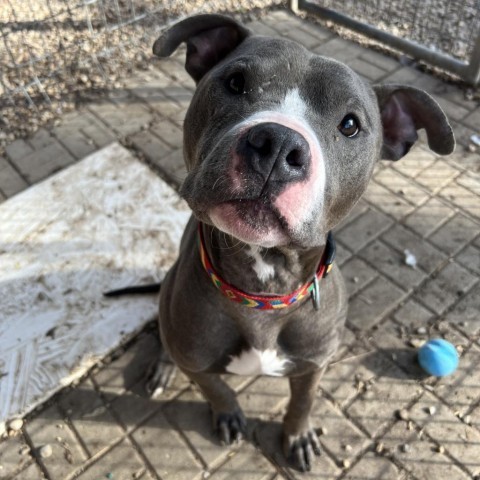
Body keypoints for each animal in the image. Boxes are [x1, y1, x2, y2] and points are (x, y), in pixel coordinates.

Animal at [145, 13, 454, 470]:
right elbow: (216, 388)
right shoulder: (198, 364)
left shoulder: (314, 364)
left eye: (350, 124)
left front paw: (298, 435)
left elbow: (303, 401)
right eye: (235, 82)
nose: (277, 144)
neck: (263, 287)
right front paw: (228, 414)